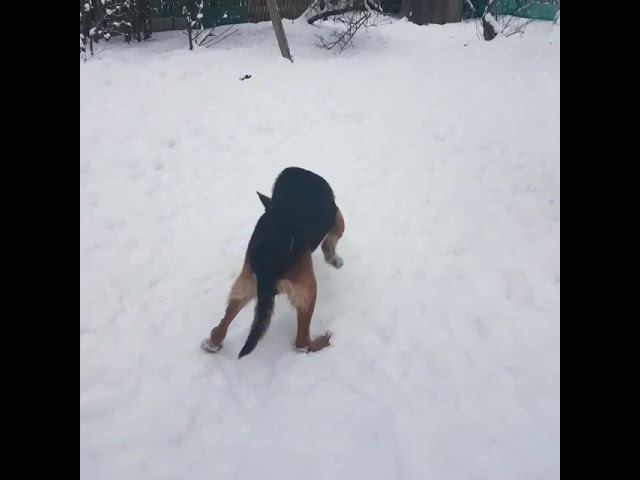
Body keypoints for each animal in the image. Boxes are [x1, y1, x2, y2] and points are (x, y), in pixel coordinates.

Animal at [201, 167, 345, 358]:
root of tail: (267, 268)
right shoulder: (338, 219)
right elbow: (331, 241)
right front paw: (334, 260)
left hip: (244, 286)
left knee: (221, 326)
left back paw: (212, 344)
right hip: (307, 291)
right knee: (301, 343)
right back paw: (323, 342)